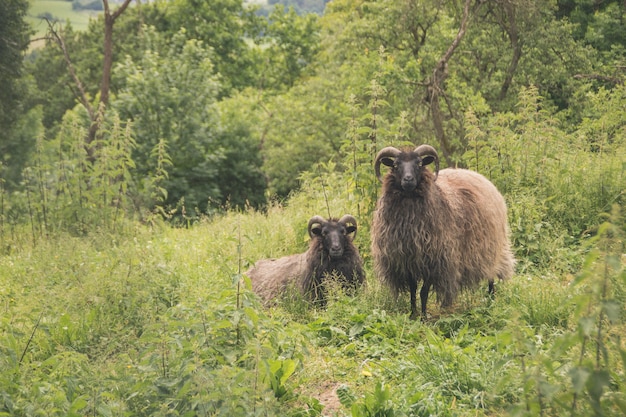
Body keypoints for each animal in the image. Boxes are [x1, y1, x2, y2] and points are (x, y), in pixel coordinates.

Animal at [370, 144, 512, 318]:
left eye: (419, 164)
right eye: (396, 165)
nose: (408, 179)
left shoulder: (435, 261)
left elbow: (423, 292)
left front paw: (423, 317)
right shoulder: (406, 260)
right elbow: (412, 290)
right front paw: (413, 314)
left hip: (490, 247)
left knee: (491, 275)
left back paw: (491, 302)